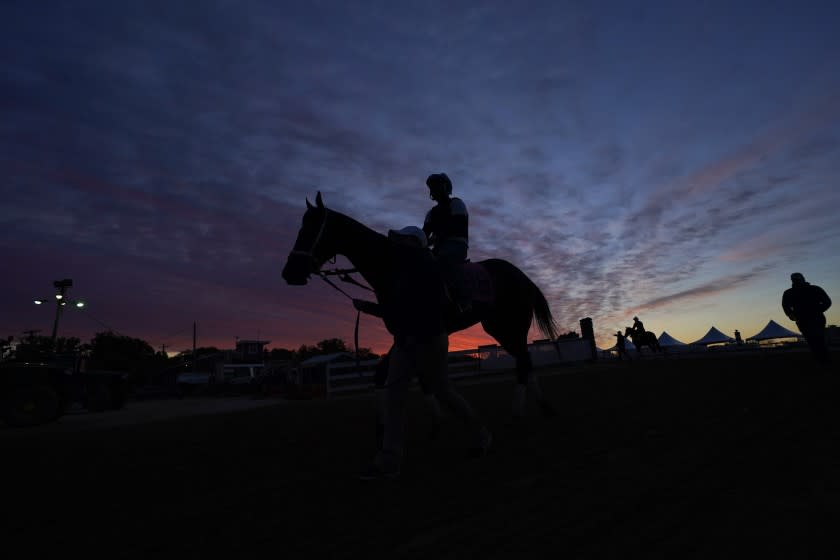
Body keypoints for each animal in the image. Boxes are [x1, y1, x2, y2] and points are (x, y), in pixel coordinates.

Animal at [278, 192, 560, 416]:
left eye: (311, 230)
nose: (290, 273)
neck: (396, 268)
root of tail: (521, 275)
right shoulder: (405, 334)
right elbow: (395, 376)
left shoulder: (414, 332)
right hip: (499, 328)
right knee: (525, 359)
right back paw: (542, 405)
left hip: (510, 325)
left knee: (523, 360)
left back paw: (518, 409)